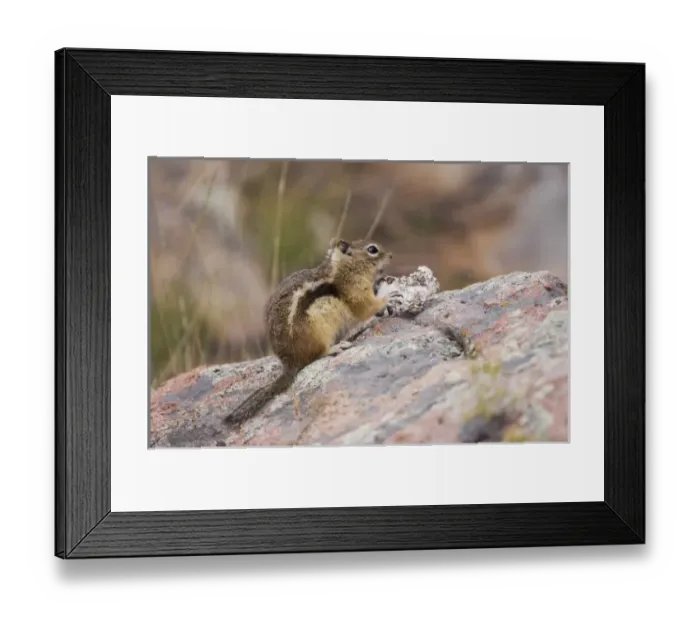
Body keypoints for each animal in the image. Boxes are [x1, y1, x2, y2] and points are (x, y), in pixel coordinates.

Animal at [223, 237, 393, 429]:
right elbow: (367, 308)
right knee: (316, 356)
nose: (391, 256)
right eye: (372, 249)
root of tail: (289, 364)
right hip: (318, 331)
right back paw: (336, 347)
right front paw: (389, 295)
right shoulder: (355, 294)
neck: (346, 269)